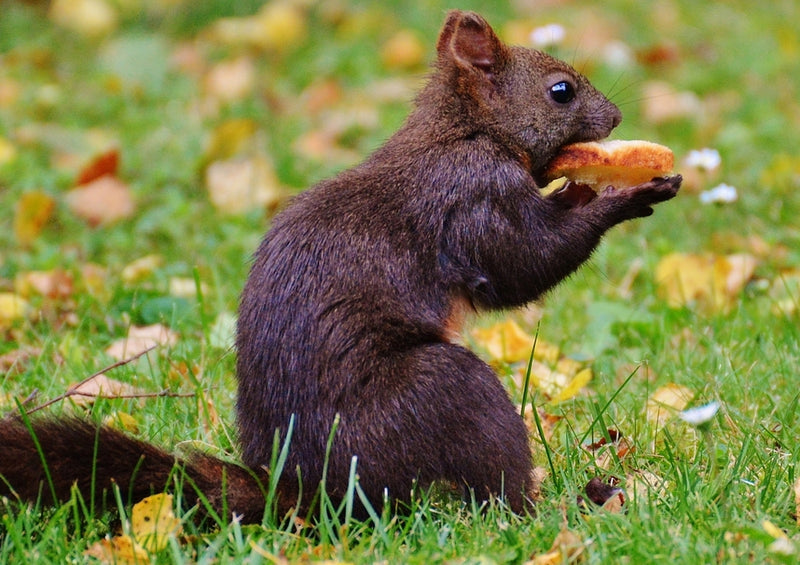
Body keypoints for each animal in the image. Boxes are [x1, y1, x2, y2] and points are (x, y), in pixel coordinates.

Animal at [0, 11, 680, 520]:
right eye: (560, 90)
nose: (617, 120)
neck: (463, 133)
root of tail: (312, 492)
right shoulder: (471, 200)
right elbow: (523, 265)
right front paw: (617, 196)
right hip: (445, 396)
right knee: (495, 490)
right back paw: (562, 509)